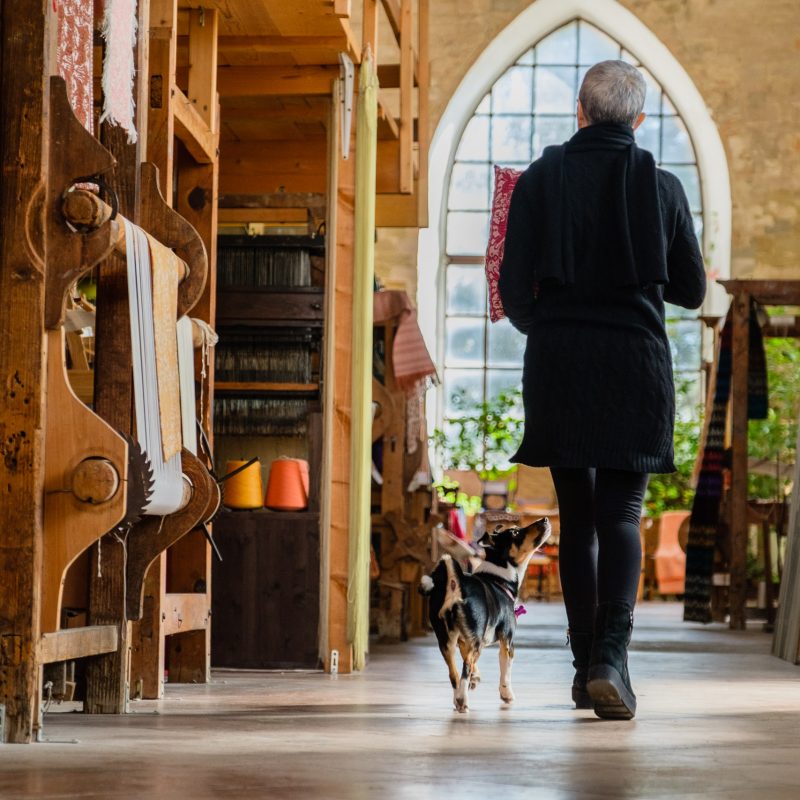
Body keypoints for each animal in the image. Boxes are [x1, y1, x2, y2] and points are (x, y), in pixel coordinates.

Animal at [418, 520, 552, 712]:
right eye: (516, 532)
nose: (545, 520)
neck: (500, 576)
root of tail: (455, 585)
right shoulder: (507, 641)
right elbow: (505, 671)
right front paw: (506, 694)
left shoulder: (464, 641)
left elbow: (472, 665)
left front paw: (476, 678)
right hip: (475, 640)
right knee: (464, 669)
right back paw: (462, 700)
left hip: (447, 641)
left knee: (454, 673)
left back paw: (458, 698)